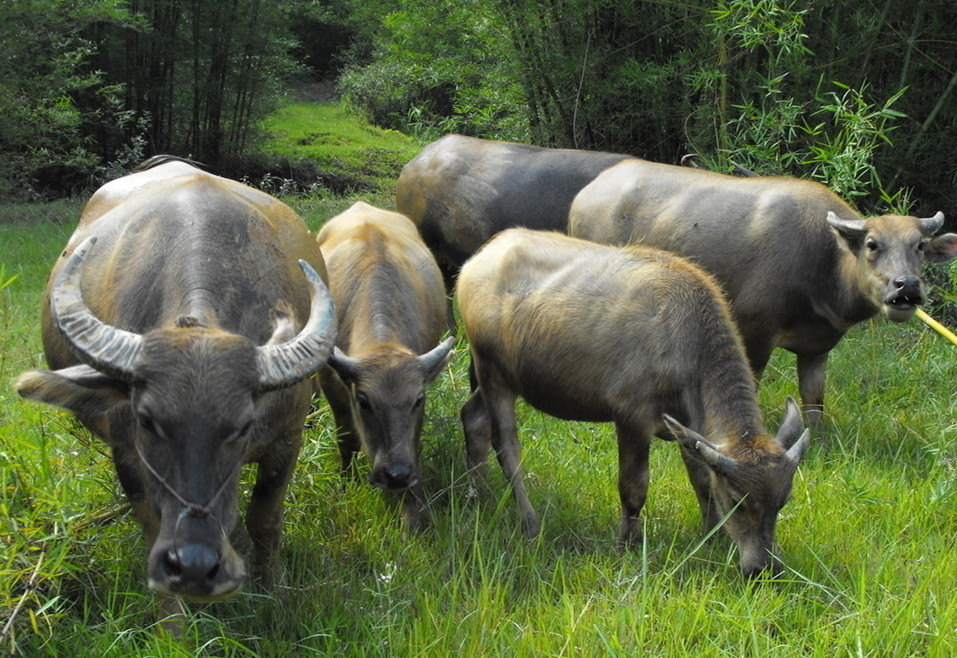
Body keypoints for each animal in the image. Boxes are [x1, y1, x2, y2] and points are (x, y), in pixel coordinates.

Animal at [14, 155, 338, 624]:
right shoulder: (129, 454)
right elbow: (153, 528)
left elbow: (265, 518)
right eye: (148, 421)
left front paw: (274, 595)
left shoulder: (287, 436)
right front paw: (174, 625)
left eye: (242, 426)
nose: (197, 565)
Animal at [316, 200, 454, 528]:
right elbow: (346, 437)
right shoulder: (332, 385)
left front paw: (411, 511)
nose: (396, 475)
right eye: (364, 401)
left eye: (417, 400)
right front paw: (345, 482)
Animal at [456, 229, 808, 576]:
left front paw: (715, 536)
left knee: (473, 418)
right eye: (738, 501)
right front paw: (627, 544)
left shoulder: (688, 425)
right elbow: (634, 486)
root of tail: (478, 261)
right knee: (507, 447)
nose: (762, 568)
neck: (684, 340)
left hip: (501, 378)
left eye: (782, 501)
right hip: (493, 374)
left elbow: (703, 481)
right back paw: (530, 523)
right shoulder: (632, 417)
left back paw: (480, 495)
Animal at [568, 158, 956, 426]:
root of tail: (585, 195)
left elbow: (814, 399)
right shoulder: (755, 331)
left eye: (920, 245)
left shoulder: (817, 347)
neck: (826, 263)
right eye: (873, 244)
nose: (907, 286)